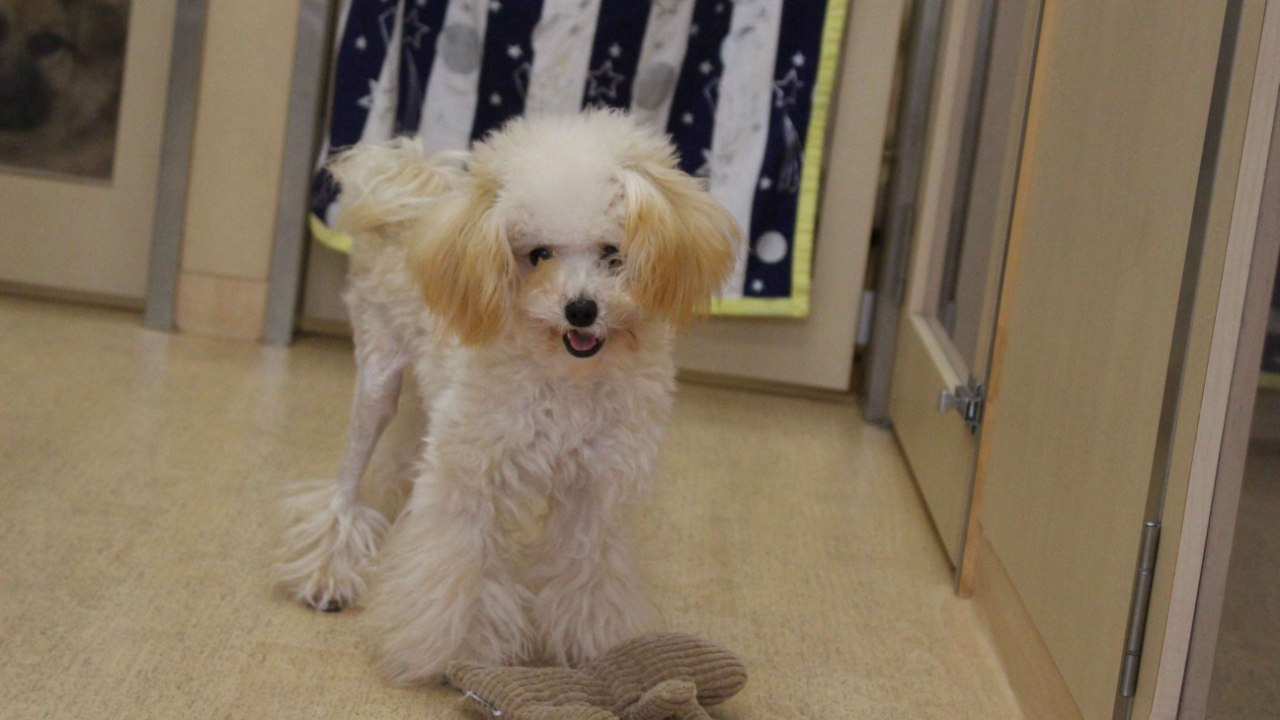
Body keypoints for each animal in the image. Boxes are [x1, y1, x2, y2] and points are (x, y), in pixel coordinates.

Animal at [275, 111, 738, 684]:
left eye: (613, 253)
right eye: (538, 254)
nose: (580, 309)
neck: (565, 378)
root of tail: (411, 181)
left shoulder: (593, 490)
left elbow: (588, 576)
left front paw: (585, 652)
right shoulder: (474, 478)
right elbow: (458, 571)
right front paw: (452, 654)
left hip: (428, 405)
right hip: (378, 381)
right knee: (345, 484)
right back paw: (328, 573)